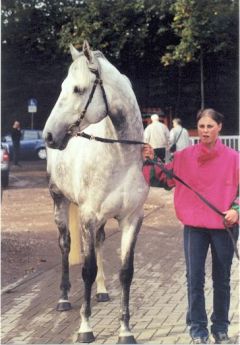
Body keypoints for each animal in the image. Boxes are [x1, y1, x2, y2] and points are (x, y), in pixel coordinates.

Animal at [42, 40, 149, 342]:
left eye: (78, 89)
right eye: (63, 87)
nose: (49, 135)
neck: (120, 156)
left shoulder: (131, 220)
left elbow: (126, 272)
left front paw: (125, 330)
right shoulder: (88, 217)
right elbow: (86, 271)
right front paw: (85, 327)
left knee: (100, 242)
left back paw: (102, 291)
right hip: (60, 202)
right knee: (65, 244)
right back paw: (63, 299)